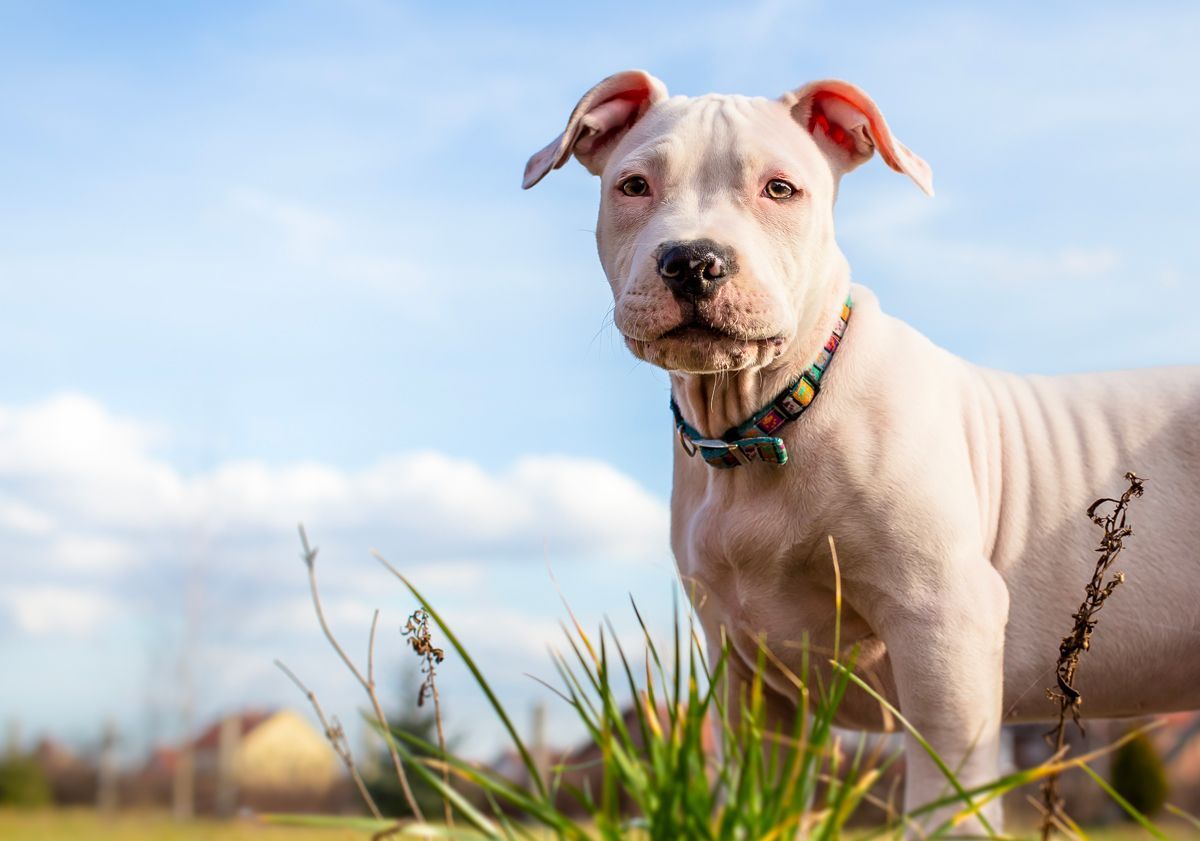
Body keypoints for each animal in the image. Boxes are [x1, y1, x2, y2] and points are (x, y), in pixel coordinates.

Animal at [523, 70, 1200, 835]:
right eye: (633, 186)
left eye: (780, 189)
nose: (692, 261)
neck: (763, 427)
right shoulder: (744, 668)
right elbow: (762, 800)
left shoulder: (945, 623)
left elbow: (946, 801)